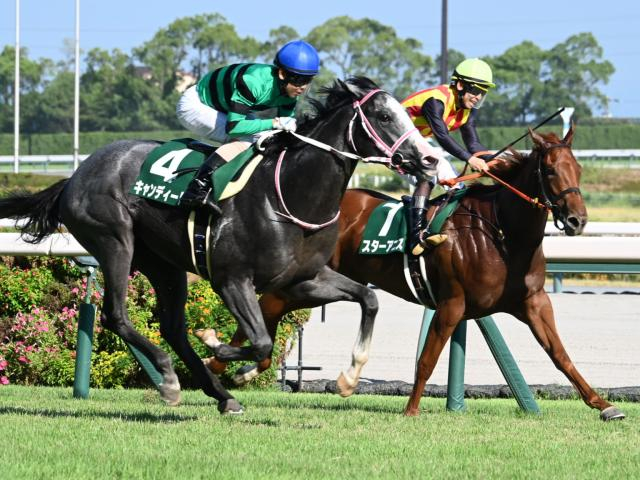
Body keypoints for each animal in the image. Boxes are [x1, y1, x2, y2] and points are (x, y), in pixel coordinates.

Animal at [0, 77, 434, 414]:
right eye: (383, 116)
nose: (429, 160)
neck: (290, 194)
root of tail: (75, 174)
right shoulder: (232, 279)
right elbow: (260, 341)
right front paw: (217, 347)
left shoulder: (304, 278)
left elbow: (368, 299)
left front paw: (348, 377)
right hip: (114, 241)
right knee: (116, 315)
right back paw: (169, 378)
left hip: (163, 262)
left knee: (172, 326)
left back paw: (220, 395)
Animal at [208, 125, 625, 421]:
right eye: (551, 170)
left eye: (579, 169)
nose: (577, 220)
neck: (500, 232)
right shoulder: (452, 302)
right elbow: (427, 358)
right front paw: (410, 409)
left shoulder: (534, 302)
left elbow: (560, 355)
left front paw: (603, 404)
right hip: (309, 280)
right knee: (268, 305)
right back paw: (225, 364)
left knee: (270, 308)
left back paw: (237, 366)